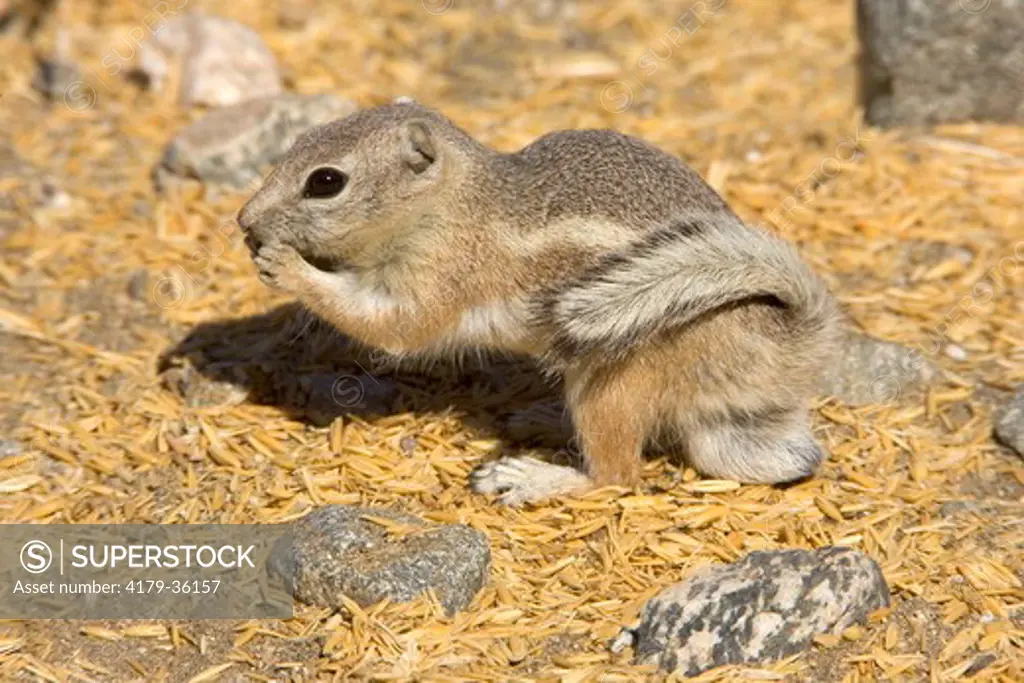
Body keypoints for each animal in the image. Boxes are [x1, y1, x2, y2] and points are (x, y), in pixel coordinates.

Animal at [239, 102, 839, 507]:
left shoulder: (440, 276)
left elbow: (394, 327)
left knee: (615, 476)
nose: (244, 222)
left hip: (613, 381)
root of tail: (780, 352)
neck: (451, 204)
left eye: (326, 181)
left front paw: (287, 266)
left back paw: (530, 477)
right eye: (298, 141)